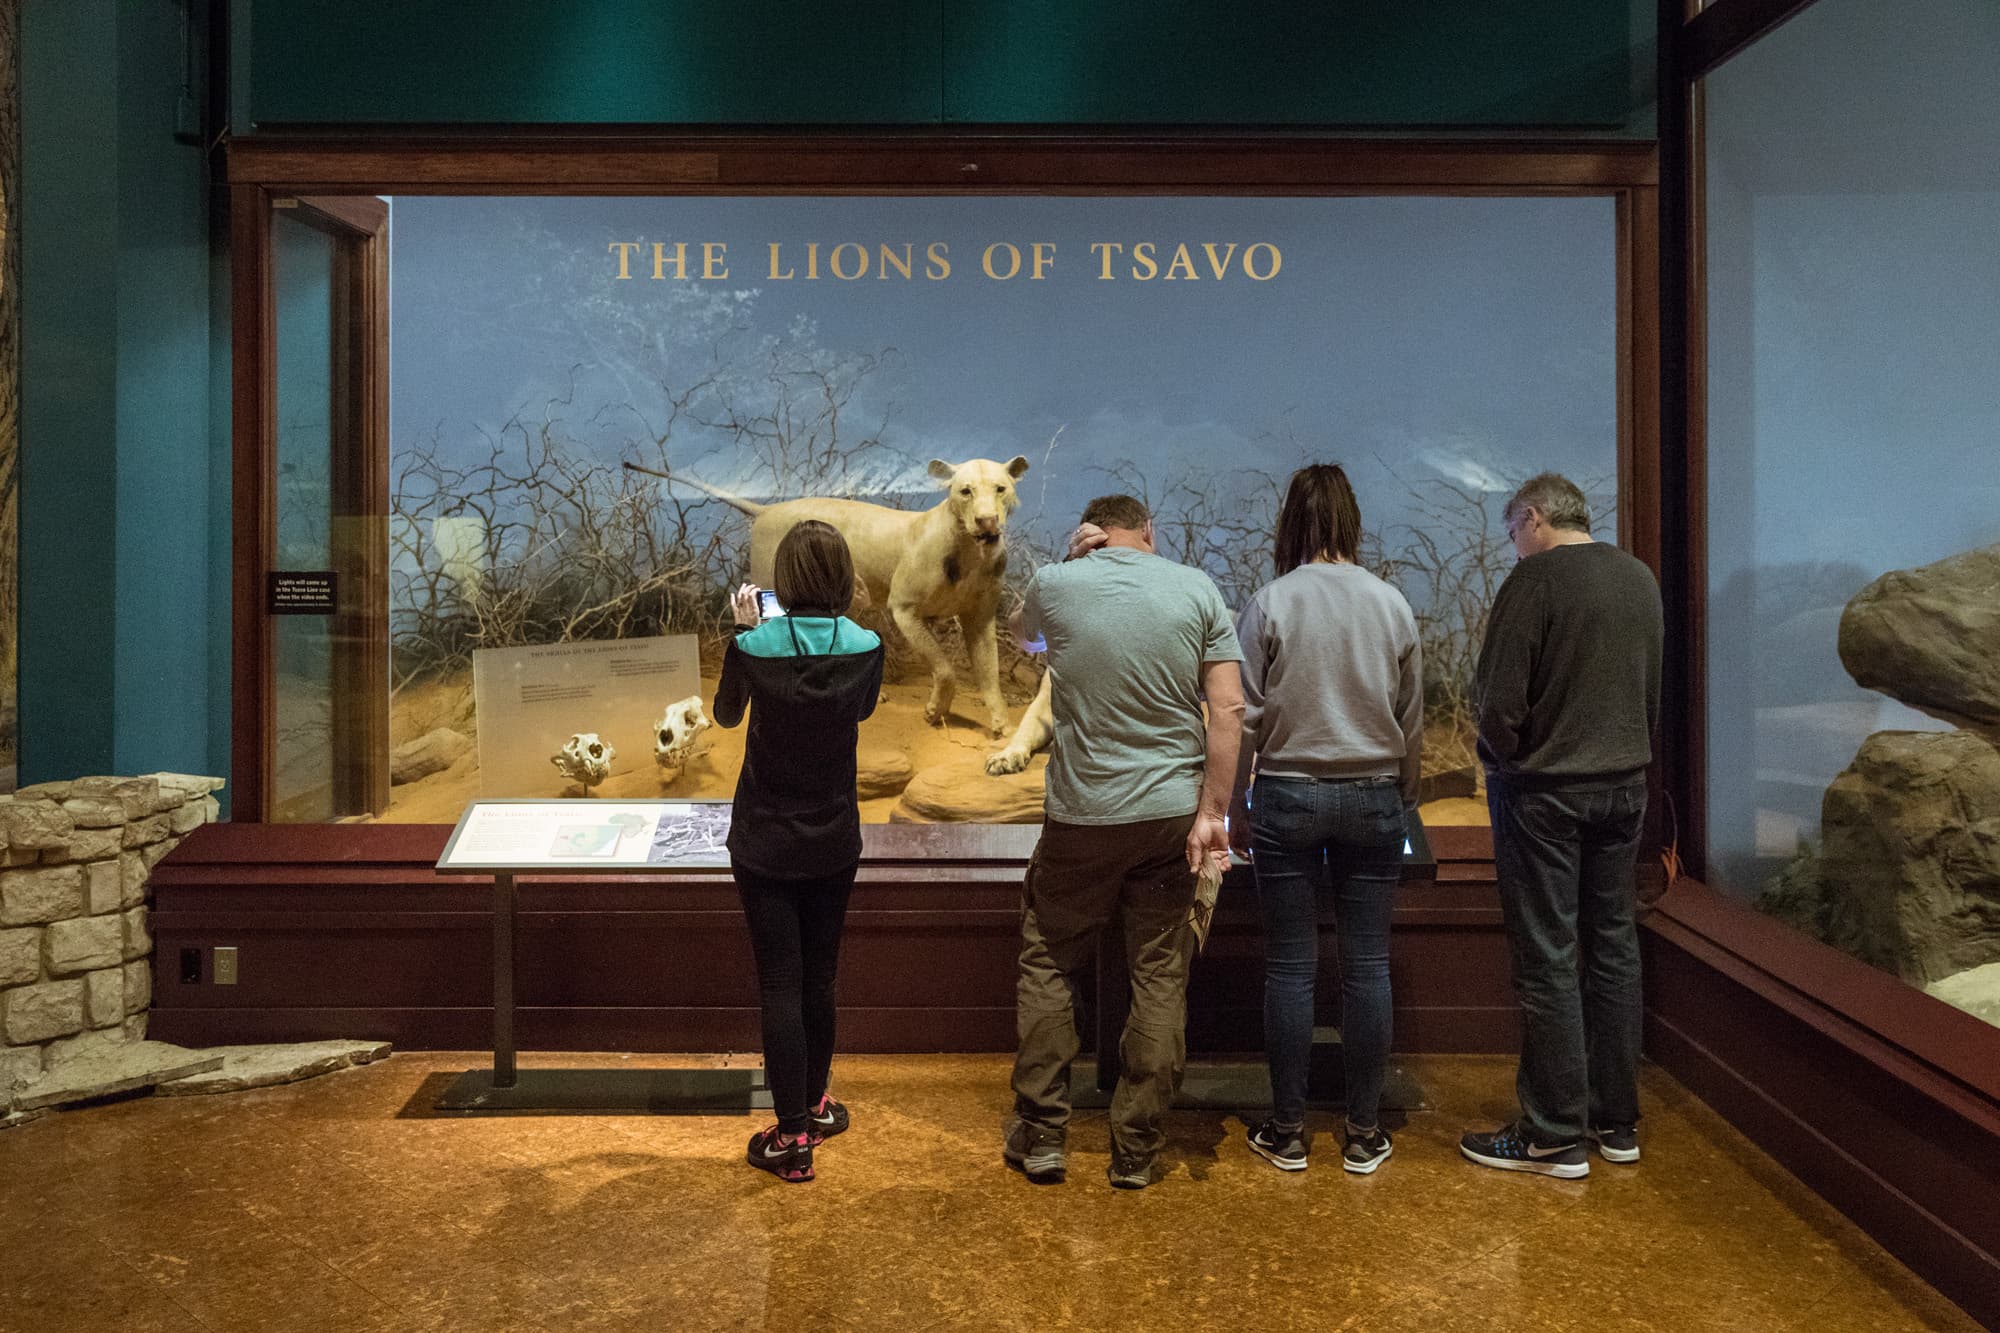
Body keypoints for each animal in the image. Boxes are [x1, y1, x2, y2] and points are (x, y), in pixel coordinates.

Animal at [624, 452, 1032, 732]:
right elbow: (945, 667)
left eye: (1001, 489)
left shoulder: (981, 617)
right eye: (965, 491)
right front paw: (935, 712)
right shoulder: (904, 608)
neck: (972, 551)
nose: (987, 521)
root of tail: (767, 509)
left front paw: (1002, 725)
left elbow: (989, 671)